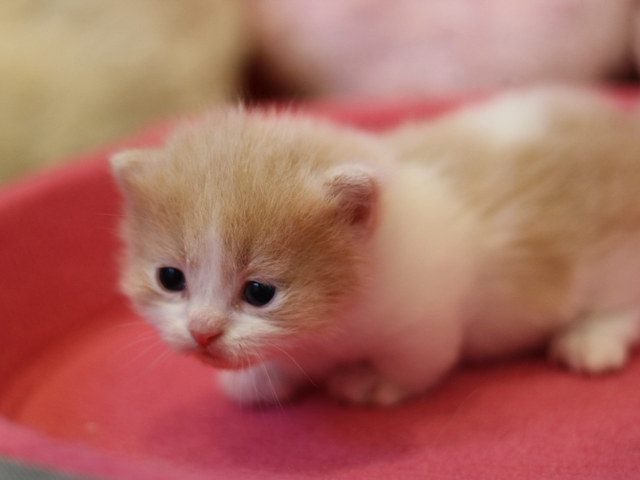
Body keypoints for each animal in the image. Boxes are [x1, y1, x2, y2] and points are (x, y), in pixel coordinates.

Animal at [112, 89, 640, 404]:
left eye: (260, 292)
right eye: (170, 278)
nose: (202, 333)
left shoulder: (425, 319)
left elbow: (415, 365)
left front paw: (369, 382)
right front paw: (258, 380)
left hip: (616, 264)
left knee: (626, 309)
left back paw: (589, 341)